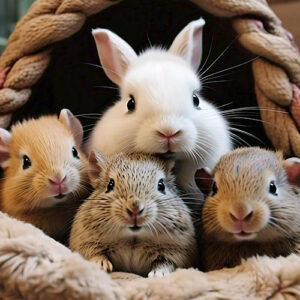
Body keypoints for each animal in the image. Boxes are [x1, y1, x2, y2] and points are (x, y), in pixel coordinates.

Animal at [69, 152, 198, 276]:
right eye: (110, 184)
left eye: (161, 186)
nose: (135, 209)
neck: (133, 238)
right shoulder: (85, 242)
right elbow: (95, 254)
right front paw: (102, 265)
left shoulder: (179, 251)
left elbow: (166, 262)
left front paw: (157, 274)